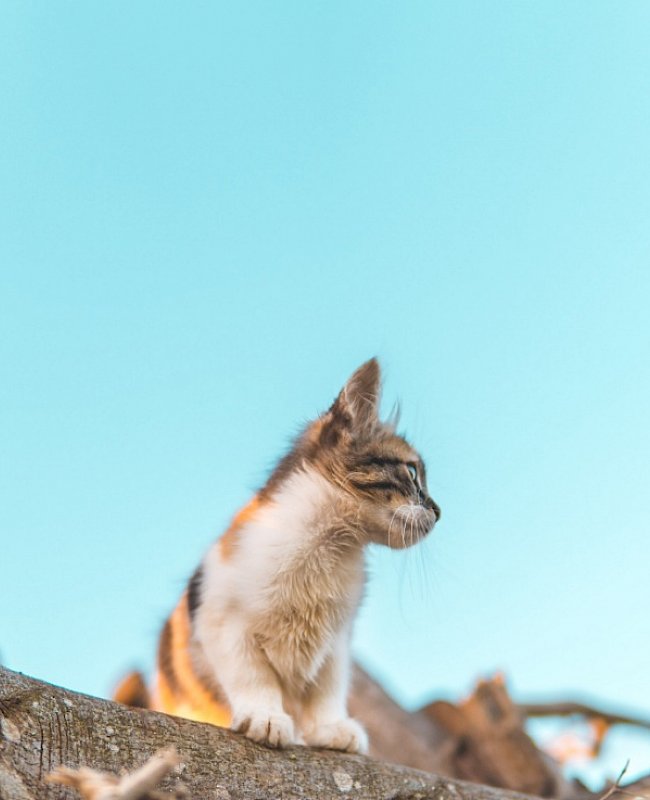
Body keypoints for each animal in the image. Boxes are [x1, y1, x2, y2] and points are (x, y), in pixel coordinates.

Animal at [116, 360, 440, 752]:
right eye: (412, 472)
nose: (439, 511)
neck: (330, 545)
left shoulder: (336, 643)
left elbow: (328, 689)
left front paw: (330, 728)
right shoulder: (223, 623)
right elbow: (254, 676)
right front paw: (265, 716)